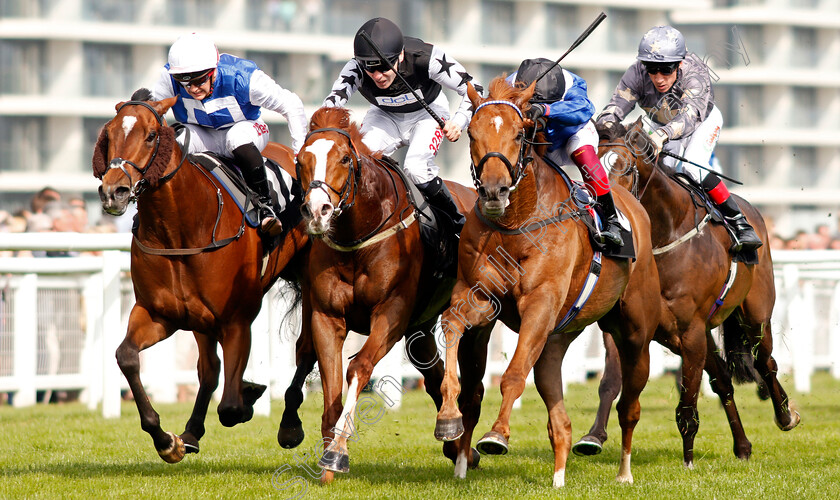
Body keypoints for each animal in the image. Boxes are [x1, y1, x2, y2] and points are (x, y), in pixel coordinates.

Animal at [92, 95, 308, 462]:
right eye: (108, 135)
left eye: (151, 136)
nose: (114, 191)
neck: (181, 230)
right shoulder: (159, 313)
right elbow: (127, 356)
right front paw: (167, 440)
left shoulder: (236, 321)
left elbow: (231, 407)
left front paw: (249, 396)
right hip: (199, 321)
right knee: (209, 369)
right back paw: (192, 432)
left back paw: (290, 424)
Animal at [294, 106, 480, 484]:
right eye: (300, 160)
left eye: (344, 158)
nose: (318, 211)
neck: (358, 237)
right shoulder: (326, 316)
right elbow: (331, 384)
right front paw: (327, 462)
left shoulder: (391, 313)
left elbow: (358, 369)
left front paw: (337, 453)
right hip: (421, 327)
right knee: (433, 374)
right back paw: (453, 438)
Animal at [434, 79, 664, 488]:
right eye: (473, 134)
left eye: (518, 132)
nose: (493, 191)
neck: (517, 221)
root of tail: (633, 204)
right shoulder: (478, 296)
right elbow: (452, 325)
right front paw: (448, 418)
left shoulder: (540, 304)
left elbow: (512, 375)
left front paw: (497, 435)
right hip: (556, 341)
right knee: (559, 417)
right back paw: (558, 476)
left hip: (635, 333)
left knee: (630, 405)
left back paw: (624, 471)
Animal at [572, 119, 800, 466]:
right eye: (586, 168)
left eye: (624, 167)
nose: (600, 209)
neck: (663, 236)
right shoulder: (629, 328)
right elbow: (611, 381)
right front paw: (593, 437)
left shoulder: (690, 331)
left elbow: (688, 402)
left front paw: (688, 460)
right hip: (705, 332)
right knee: (723, 381)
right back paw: (742, 446)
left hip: (755, 315)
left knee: (765, 363)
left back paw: (786, 416)